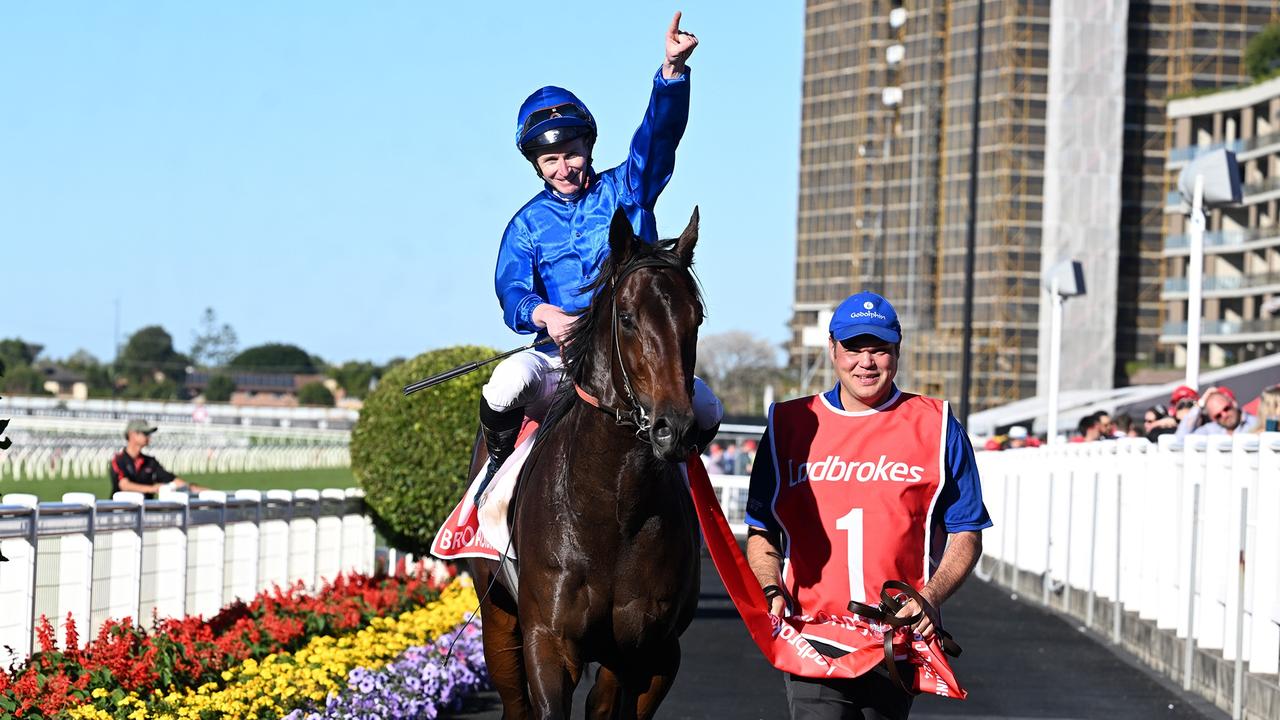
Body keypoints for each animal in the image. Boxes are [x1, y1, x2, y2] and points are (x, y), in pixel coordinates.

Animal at [471, 204, 706, 712]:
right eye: (627, 316)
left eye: (696, 317)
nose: (674, 427)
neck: (613, 509)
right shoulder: (547, 640)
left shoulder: (653, 653)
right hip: (497, 618)